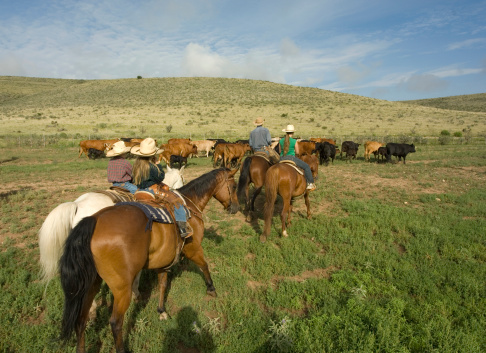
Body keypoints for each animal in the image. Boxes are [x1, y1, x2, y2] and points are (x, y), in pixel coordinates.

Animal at [58, 168, 239, 352]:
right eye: (234, 185)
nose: (236, 208)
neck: (189, 204)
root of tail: (92, 220)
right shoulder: (193, 249)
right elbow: (204, 265)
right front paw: (211, 288)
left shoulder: (164, 260)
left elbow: (163, 284)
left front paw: (161, 311)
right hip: (121, 290)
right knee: (115, 323)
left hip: (91, 284)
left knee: (81, 320)